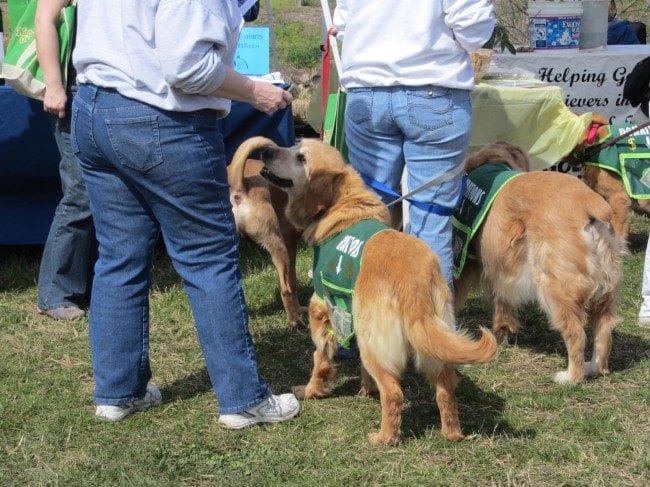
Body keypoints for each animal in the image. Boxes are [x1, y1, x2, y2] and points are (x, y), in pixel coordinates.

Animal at [228, 137, 304, 328]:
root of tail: (238, 184)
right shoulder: (289, 243)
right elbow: (291, 284)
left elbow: (293, 280)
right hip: (277, 246)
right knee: (285, 290)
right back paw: (295, 322)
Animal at [450, 140, 624, 386]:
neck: (494, 162)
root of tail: (592, 204)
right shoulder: (501, 267)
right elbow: (501, 304)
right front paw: (500, 335)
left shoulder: (465, 262)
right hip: (605, 289)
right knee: (604, 327)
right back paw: (594, 367)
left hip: (554, 285)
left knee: (576, 333)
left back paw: (571, 376)